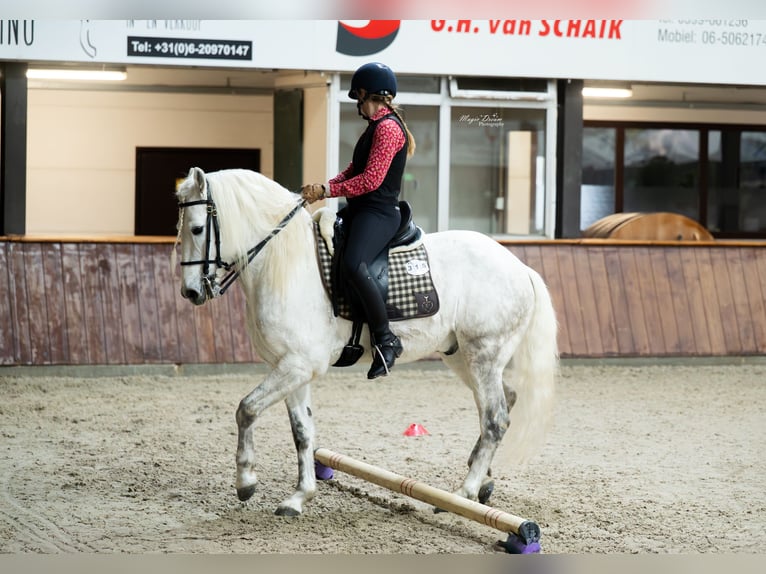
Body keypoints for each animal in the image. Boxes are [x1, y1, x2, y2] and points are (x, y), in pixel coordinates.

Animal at [174, 166, 558, 517]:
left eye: (197, 228)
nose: (190, 292)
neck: (285, 264)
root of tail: (521, 268)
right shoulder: (292, 368)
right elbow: (302, 431)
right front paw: (298, 498)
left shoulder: (297, 366)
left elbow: (247, 409)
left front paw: (246, 483)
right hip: (462, 357)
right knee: (503, 403)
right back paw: (483, 482)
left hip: (483, 354)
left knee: (495, 419)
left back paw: (462, 493)